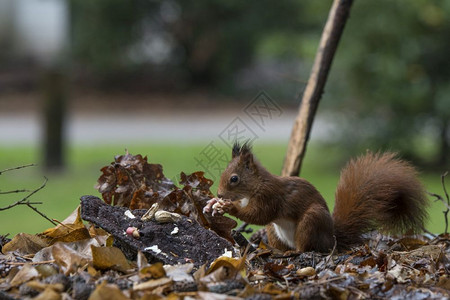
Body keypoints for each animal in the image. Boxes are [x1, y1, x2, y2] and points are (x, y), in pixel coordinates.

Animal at [204, 142, 428, 252]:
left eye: (234, 178)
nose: (219, 193)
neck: (254, 188)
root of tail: (332, 239)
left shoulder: (270, 196)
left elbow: (259, 215)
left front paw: (228, 208)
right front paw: (213, 203)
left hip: (311, 221)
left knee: (305, 248)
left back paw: (295, 252)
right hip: (273, 232)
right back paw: (276, 251)